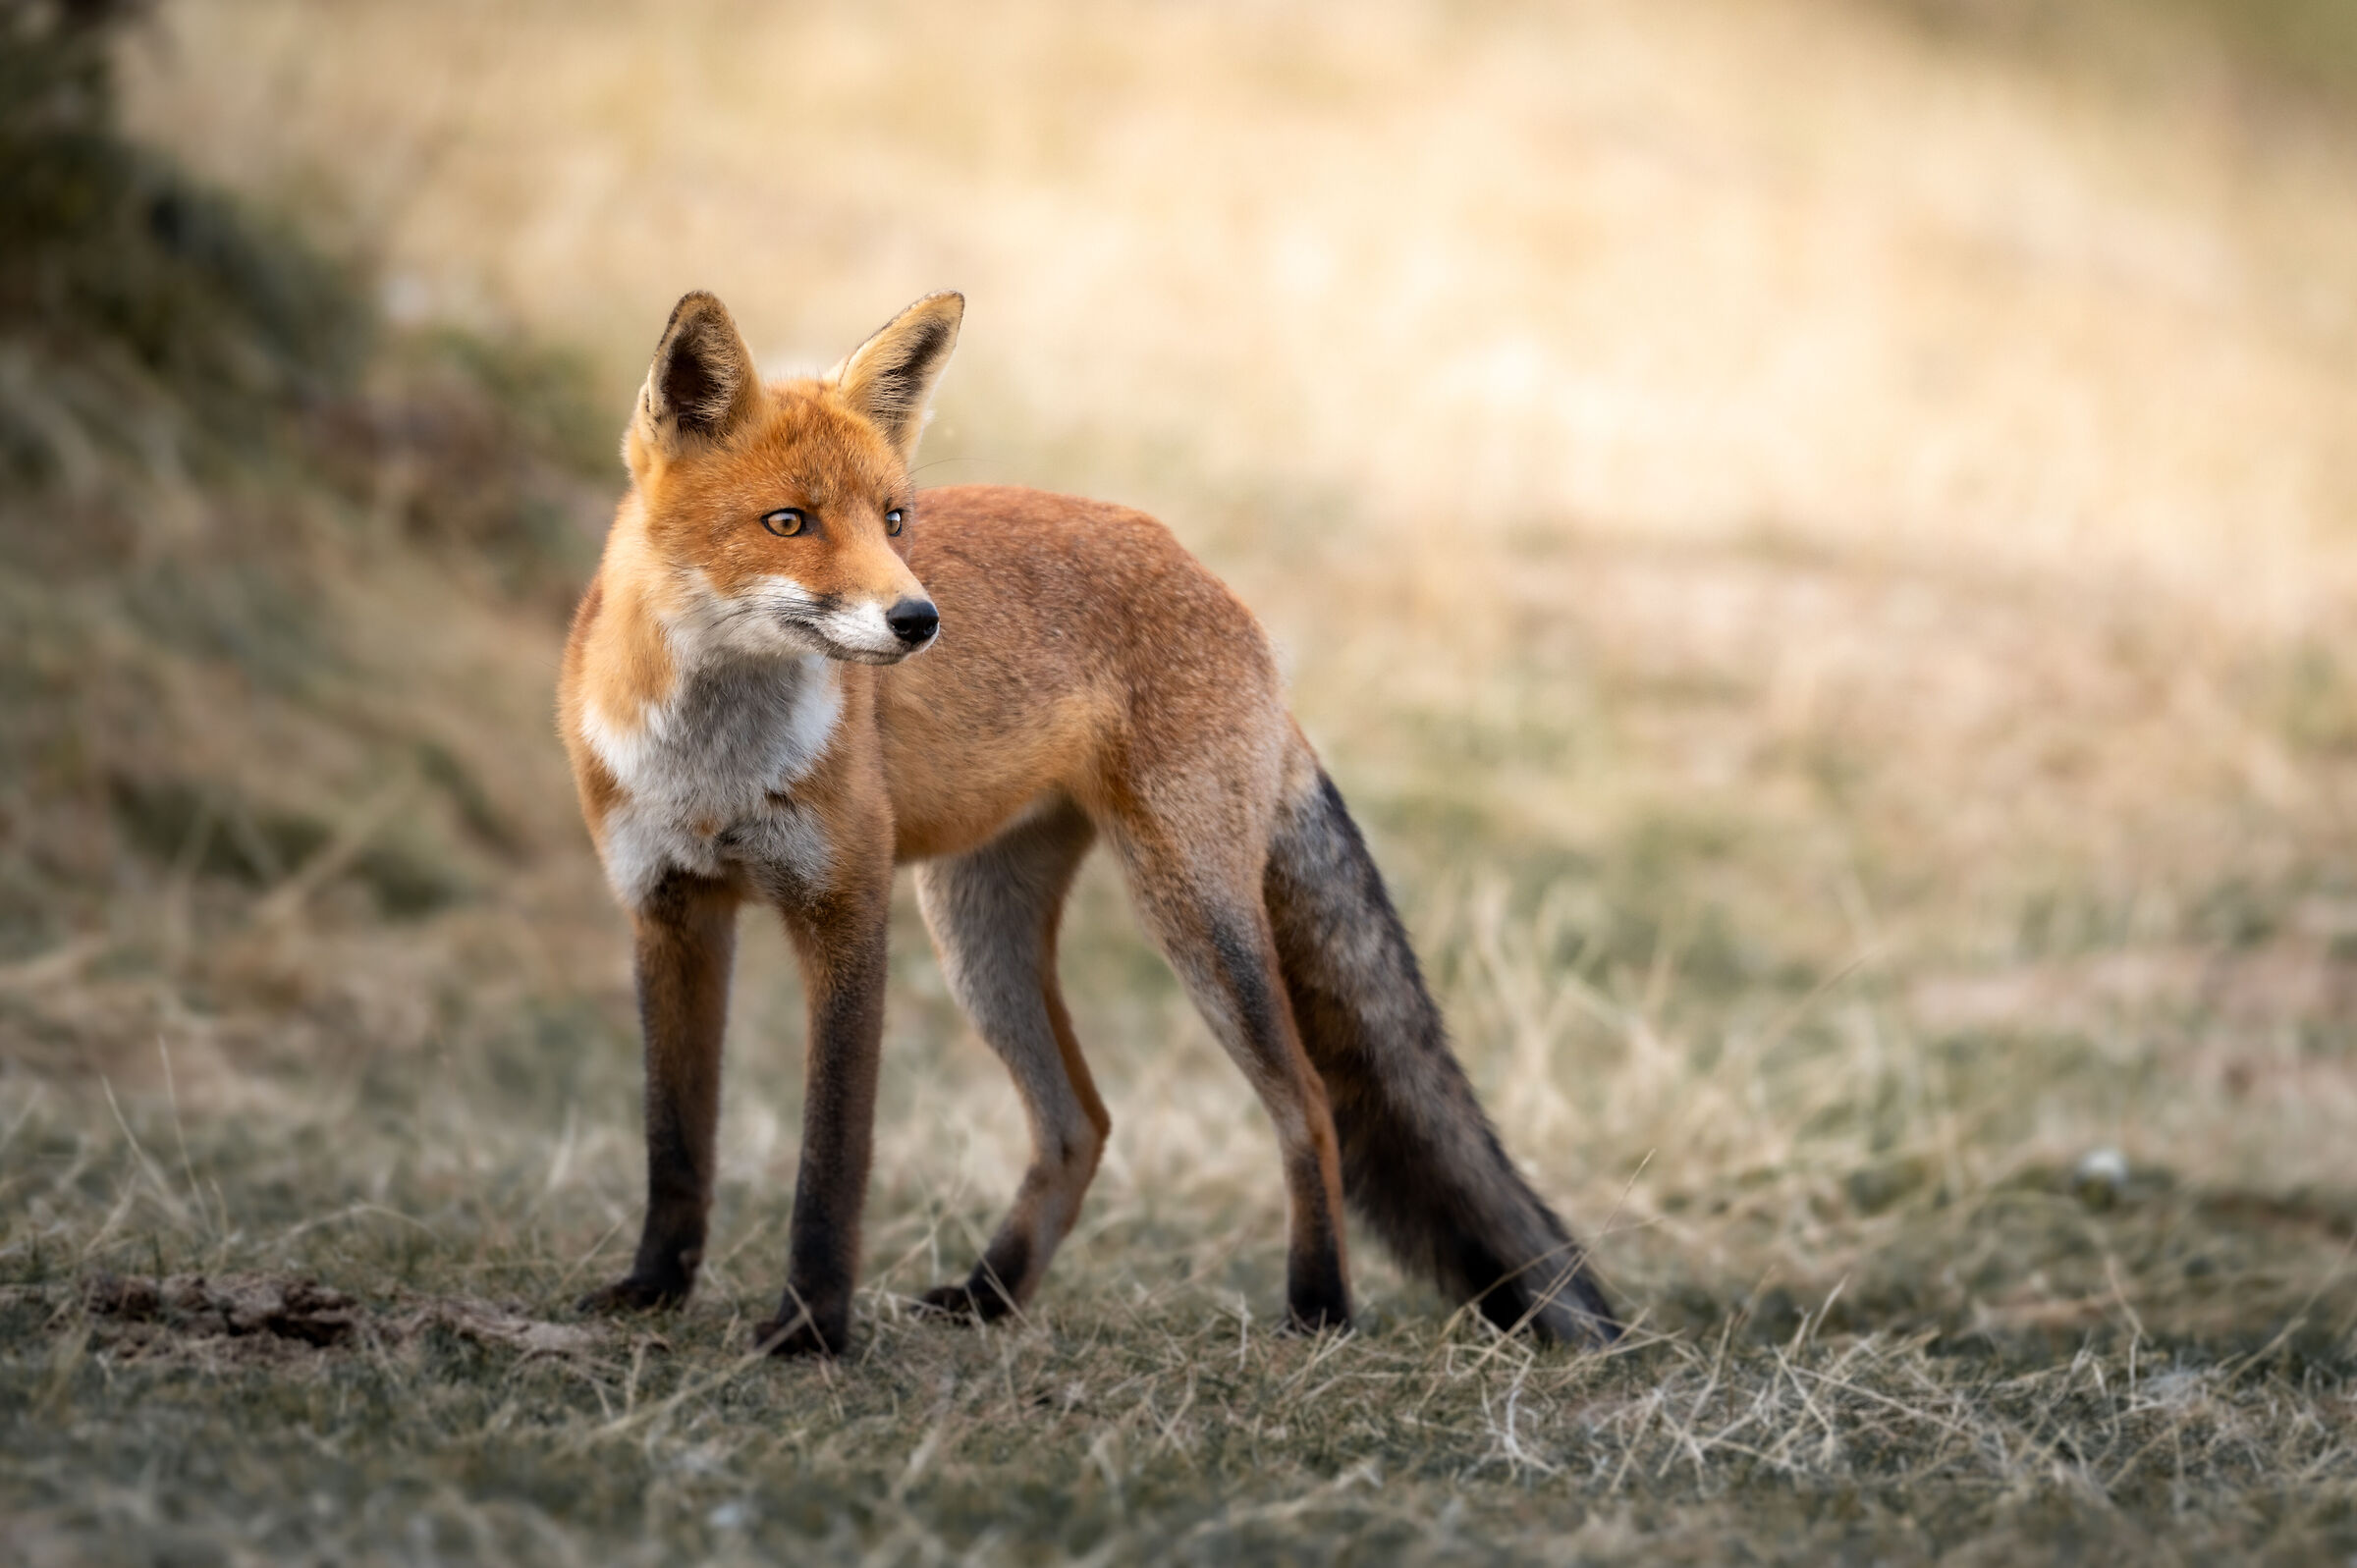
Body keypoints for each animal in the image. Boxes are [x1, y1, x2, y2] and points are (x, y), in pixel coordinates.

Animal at [558, 288, 1619, 1355]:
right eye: (789, 521)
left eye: (895, 519)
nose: (918, 620)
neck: (715, 771)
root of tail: (1208, 576)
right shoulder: (668, 910)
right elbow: (675, 1142)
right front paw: (653, 1289)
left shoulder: (845, 908)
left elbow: (832, 1160)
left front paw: (810, 1330)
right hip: (980, 936)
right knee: (1081, 1123)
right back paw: (990, 1293)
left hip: (1189, 914)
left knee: (1309, 1106)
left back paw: (1318, 1309)